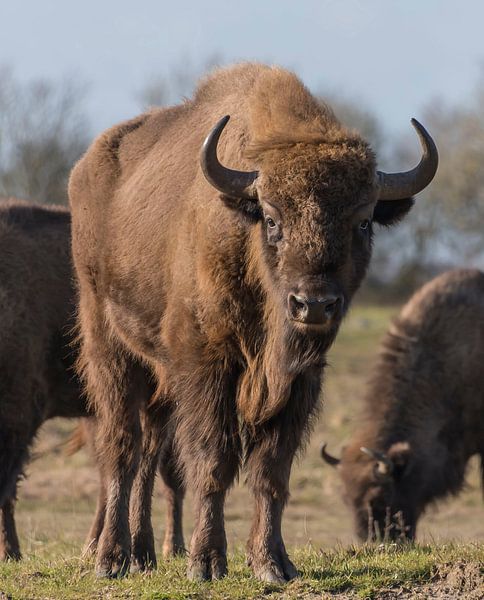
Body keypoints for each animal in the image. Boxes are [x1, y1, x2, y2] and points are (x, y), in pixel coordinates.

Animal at [71, 62, 438, 580]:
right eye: (271, 218)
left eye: (363, 221)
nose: (313, 305)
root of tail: (87, 166)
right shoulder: (207, 366)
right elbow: (213, 460)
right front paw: (206, 563)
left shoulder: (299, 381)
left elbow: (271, 470)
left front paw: (273, 563)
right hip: (109, 347)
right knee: (122, 447)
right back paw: (112, 559)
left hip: (158, 377)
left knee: (148, 450)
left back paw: (142, 556)